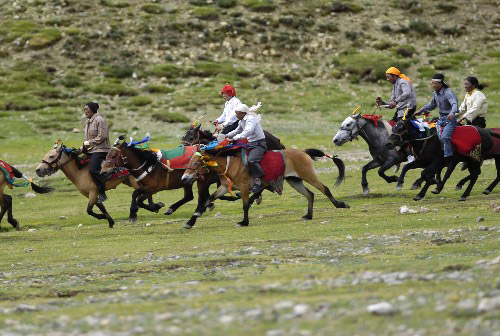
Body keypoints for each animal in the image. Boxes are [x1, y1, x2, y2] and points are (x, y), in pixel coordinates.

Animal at [35, 142, 164, 228]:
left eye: (51, 156)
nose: (38, 170)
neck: (79, 171)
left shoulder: (93, 192)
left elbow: (89, 210)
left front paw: (103, 218)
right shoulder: (90, 194)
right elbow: (101, 207)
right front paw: (110, 221)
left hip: (135, 182)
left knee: (146, 193)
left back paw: (152, 207)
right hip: (129, 181)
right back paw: (154, 206)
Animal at [182, 148, 350, 228]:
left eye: (196, 163)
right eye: (189, 161)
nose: (184, 178)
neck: (229, 165)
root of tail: (302, 152)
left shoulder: (244, 187)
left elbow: (245, 205)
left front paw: (244, 222)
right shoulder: (224, 187)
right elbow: (206, 201)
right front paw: (190, 222)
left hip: (308, 175)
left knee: (325, 189)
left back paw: (340, 204)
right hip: (294, 180)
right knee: (310, 194)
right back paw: (308, 215)